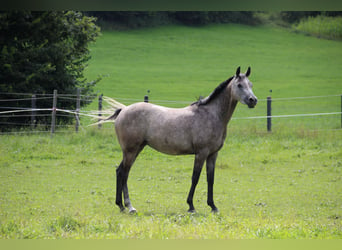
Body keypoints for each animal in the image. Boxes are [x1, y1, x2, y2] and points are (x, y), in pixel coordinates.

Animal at [109, 67, 256, 214]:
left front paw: (213, 206)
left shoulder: (213, 154)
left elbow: (210, 179)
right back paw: (130, 206)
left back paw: (120, 205)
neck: (211, 115)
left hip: (136, 149)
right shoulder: (201, 153)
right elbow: (195, 178)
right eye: (239, 85)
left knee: (119, 171)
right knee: (124, 173)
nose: (253, 100)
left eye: (250, 84)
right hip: (131, 151)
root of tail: (124, 110)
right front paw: (191, 206)